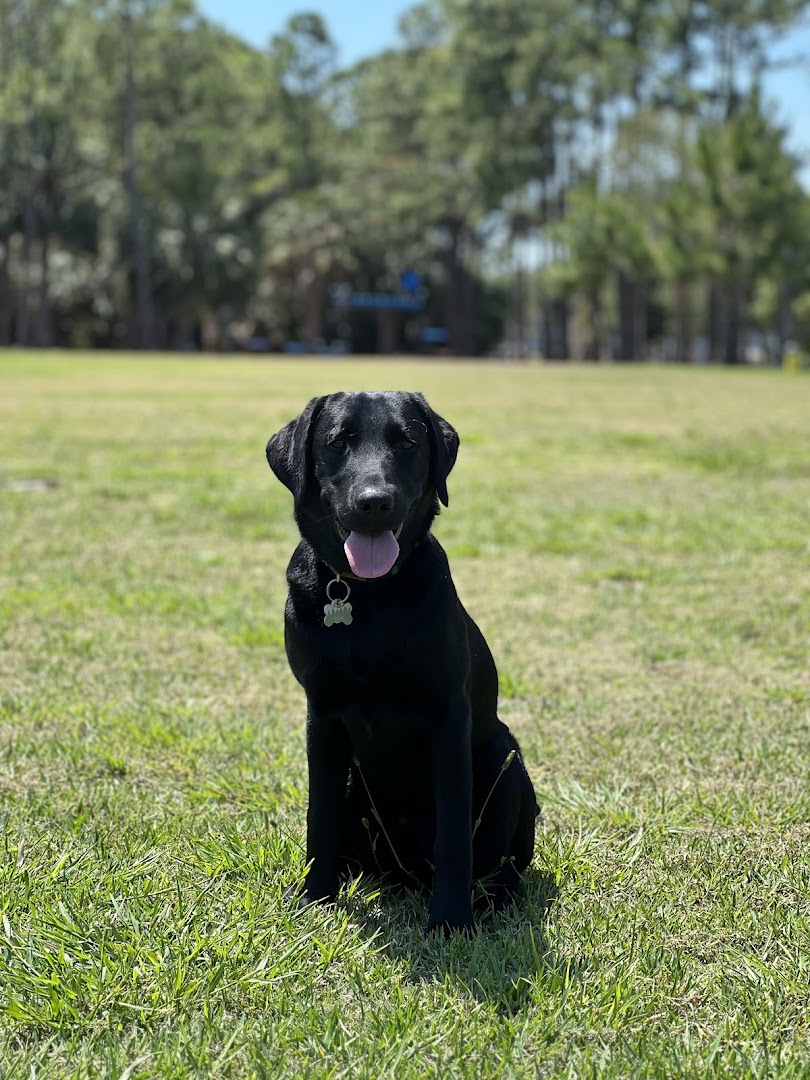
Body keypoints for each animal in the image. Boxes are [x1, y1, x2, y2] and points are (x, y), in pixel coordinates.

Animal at [266, 393, 542, 933]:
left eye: (408, 443)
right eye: (338, 441)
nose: (375, 502)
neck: (367, 598)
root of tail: (406, 874)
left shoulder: (448, 716)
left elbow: (454, 833)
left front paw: (451, 921)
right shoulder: (322, 715)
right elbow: (318, 817)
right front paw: (314, 899)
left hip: (505, 758)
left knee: (502, 865)